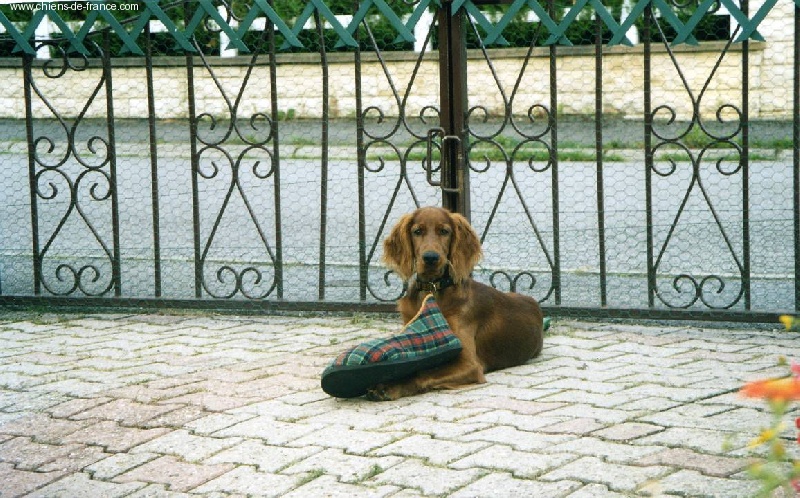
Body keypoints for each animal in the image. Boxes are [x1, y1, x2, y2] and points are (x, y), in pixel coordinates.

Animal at [368, 206, 544, 400]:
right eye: (417, 231)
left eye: (444, 231)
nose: (431, 258)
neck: (433, 289)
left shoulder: (469, 364)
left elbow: (424, 372)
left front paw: (392, 386)